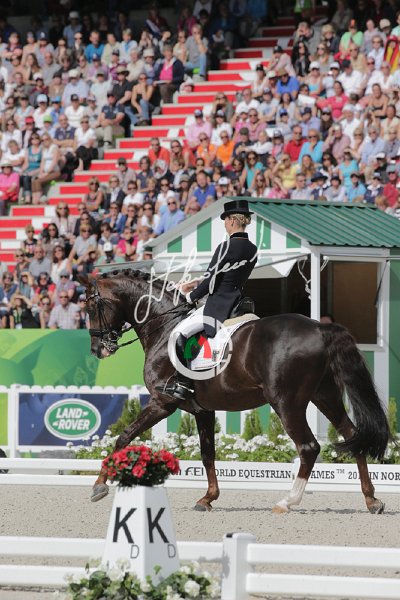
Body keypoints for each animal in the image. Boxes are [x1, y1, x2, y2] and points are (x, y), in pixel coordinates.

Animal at [81, 269, 390, 514]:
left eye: (91, 308)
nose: (97, 349)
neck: (164, 325)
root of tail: (319, 328)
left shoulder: (162, 402)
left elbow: (123, 437)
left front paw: (99, 487)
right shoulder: (203, 410)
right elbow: (207, 453)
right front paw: (207, 498)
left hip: (286, 403)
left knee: (309, 447)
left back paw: (287, 502)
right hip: (325, 396)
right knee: (353, 437)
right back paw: (372, 500)